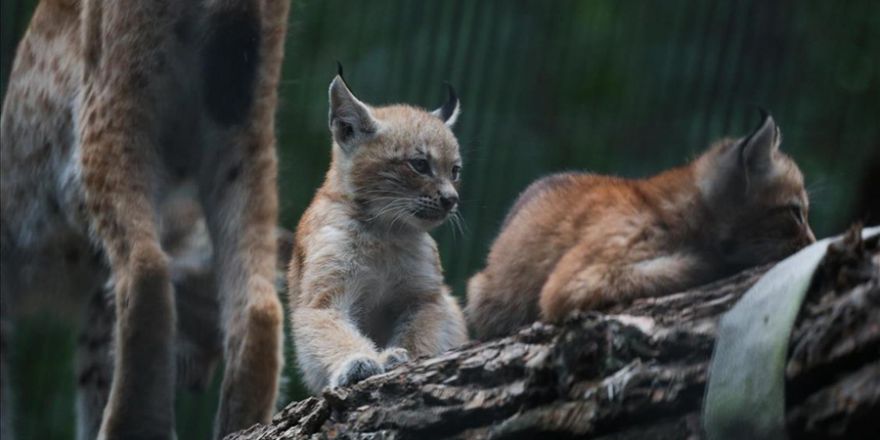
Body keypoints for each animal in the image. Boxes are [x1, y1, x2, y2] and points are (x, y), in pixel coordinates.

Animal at [288, 69, 468, 392]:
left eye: (455, 171)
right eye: (420, 165)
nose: (451, 200)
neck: (386, 230)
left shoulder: (425, 297)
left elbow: (420, 335)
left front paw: (405, 357)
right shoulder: (324, 298)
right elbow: (332, 329)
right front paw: (357, 361)